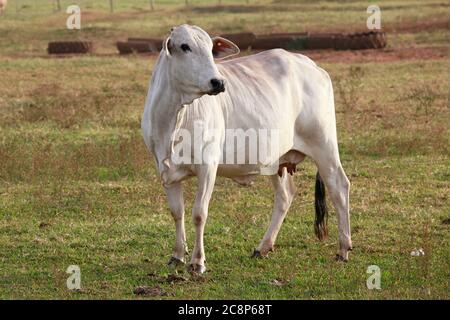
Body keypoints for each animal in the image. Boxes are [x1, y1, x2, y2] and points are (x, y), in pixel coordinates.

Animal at [142, 25, 352, 272]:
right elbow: (177, 212)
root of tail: (311, 65)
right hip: (277, 160)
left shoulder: (208, 166)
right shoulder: (166, 170)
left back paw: (343, 248)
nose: (218, 82)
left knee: (339, 187)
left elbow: (199, 214)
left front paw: (198, 261)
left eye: (211, 49)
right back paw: (264, 247)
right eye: (185, 46)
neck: (173, 119)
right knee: (285, 196)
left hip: (324, 145)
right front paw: (177, 255)